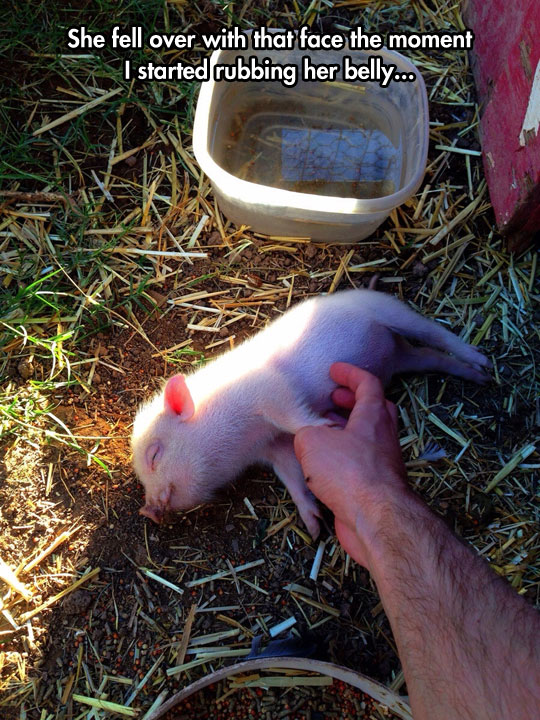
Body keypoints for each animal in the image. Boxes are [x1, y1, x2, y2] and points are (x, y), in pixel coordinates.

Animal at [131, 288, 491, 538]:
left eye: (154, 455)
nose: (146, 509)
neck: (245, 437)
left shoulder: (268, 389)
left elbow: (295, 416)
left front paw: (330, 426)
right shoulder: (273, 446)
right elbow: (290, 471)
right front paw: (315, 526)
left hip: (388, 309)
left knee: (434, 332)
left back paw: (482, 360)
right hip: (403, 357)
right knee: (430, 355)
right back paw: (478, 376)